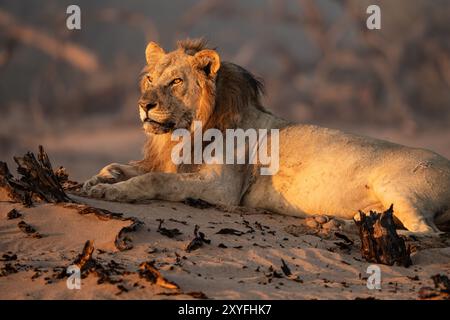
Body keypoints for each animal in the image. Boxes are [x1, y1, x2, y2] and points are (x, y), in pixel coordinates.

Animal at [83, 38, 450, 234]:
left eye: (175, 81)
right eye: (150, 79)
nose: (144, 105)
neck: (183, 134)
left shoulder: (222, 189)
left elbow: (154, 179)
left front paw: (109, 192)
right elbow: (121, 165)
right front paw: (97, 179)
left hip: (397, 187)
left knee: (428, 233)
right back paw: (335, 223)